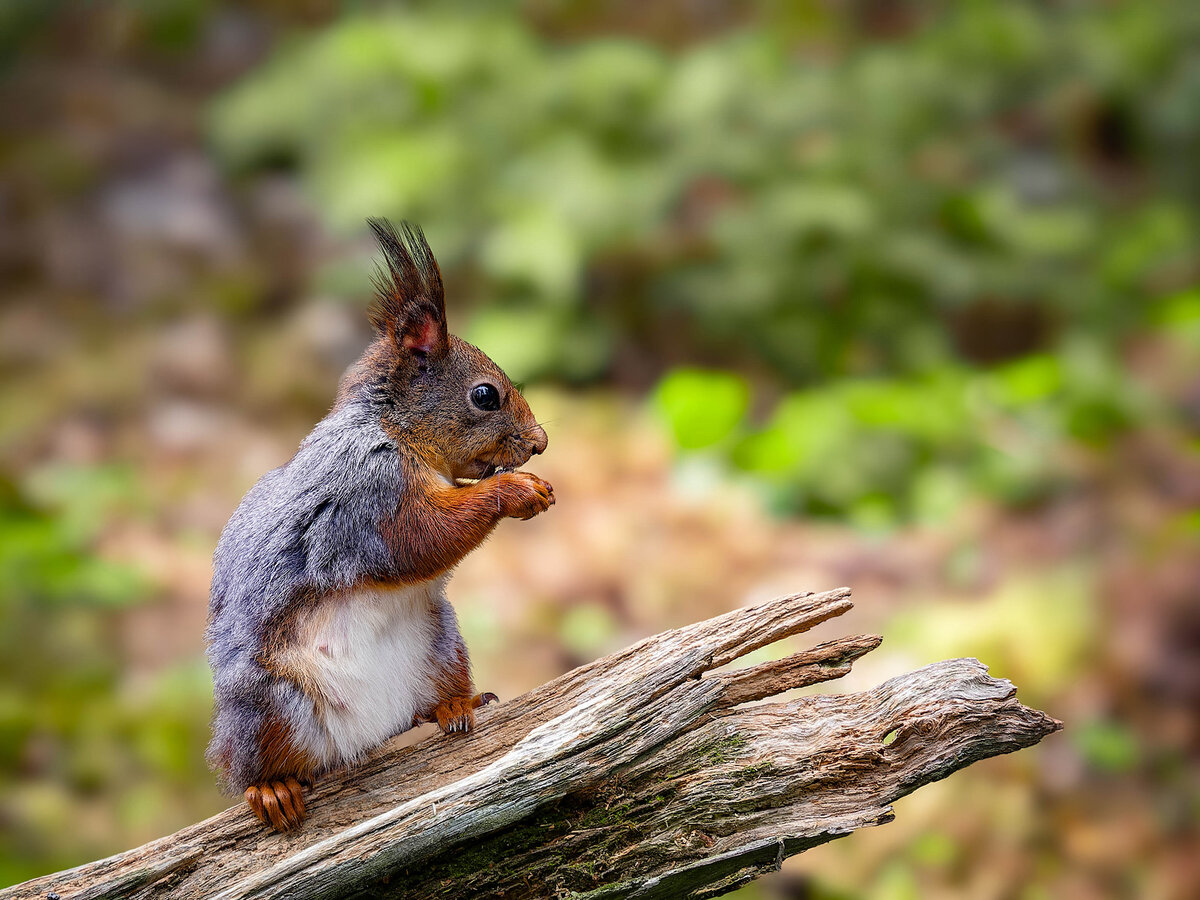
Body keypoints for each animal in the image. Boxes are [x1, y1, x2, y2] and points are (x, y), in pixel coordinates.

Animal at [205, 219, 553, 832]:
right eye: (485, 395)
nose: (541, 442)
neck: (393, 430)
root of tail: (367, 736)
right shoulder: (369, 499)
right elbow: (418, 541)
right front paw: (516, 491)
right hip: (268, 703)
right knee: (254, 763)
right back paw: (270, 788)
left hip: (441, 643)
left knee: (431, 700)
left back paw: (456, 703)